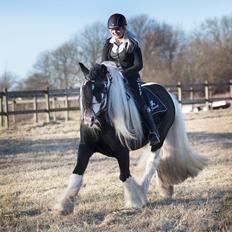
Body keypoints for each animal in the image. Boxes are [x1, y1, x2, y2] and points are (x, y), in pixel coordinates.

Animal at [54, 60, 207, 215]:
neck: (104, 124)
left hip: (159, 139)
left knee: (152, 163)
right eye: (83, 88)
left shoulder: (122, 152)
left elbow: (124, 175)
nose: (87, 119)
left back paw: (144, 192)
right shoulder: (85, 148)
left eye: (101, 87)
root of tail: (167, 93)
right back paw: (164, 188)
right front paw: (64, 205)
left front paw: (135, 201)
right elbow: (77, 174)